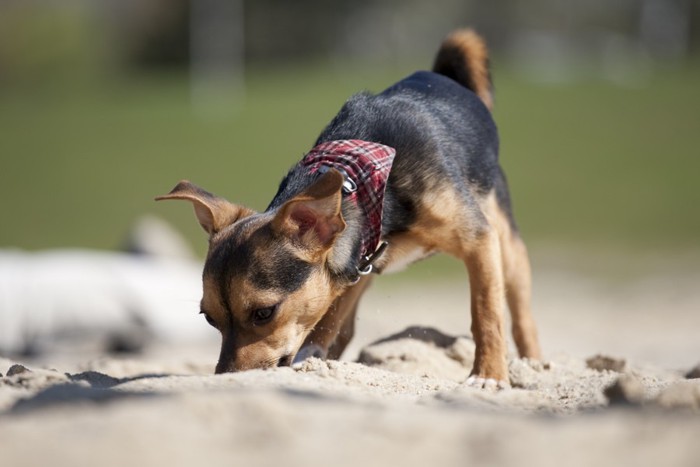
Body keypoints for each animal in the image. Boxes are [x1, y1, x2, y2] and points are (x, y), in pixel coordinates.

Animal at [157, 28, 540, 388]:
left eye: (264, 313)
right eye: (209, 318)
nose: (226, 379)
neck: (363, 180)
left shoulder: (479, 240)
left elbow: (486, 312)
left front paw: (489, 375)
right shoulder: (352, 264)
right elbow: (328, 320)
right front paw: (312, 358)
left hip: (503, 239)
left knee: (519, 306)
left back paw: (531, 362)